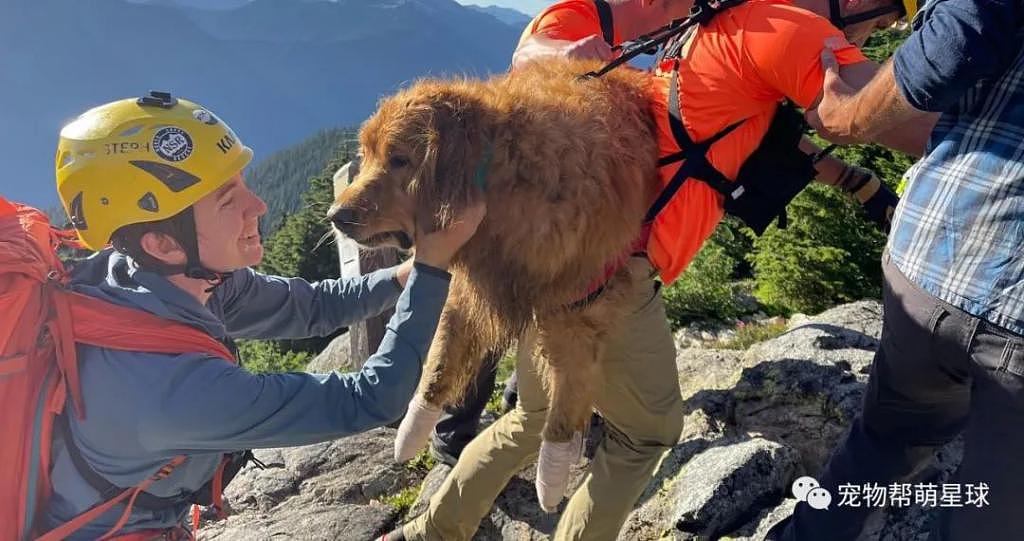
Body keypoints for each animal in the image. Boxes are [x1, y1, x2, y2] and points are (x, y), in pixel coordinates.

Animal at [331, 58, 659, 508]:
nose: (335, 216)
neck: (501, 177)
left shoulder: (579, 301)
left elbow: (570, 386)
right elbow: (441, 357)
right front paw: (415, 424)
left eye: (399, 159)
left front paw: (553, 468)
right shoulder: (471, 283)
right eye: (367, 156)